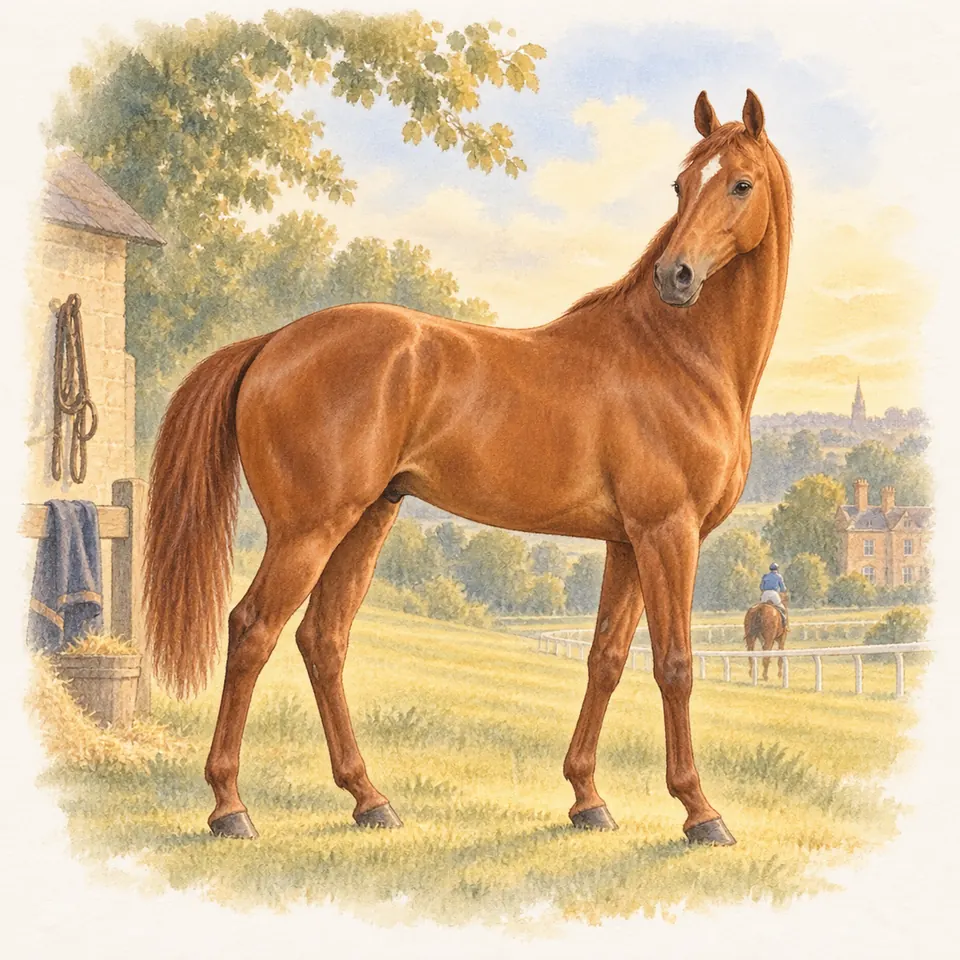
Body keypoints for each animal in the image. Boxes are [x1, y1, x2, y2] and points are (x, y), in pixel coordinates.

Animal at [144, 89, 792, 847]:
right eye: (682, 186)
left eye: (739, 183)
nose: (675, 276)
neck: (675, 355)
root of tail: (274, 341)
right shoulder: (668, 534)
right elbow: (675, 666)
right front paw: (700, 812)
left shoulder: (628, 542)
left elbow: (605, 660)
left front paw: (586, 800)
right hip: (308, 530)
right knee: (252, 630)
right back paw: (230, 807)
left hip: (366, 521)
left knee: (322, 639)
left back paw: (370, 800)